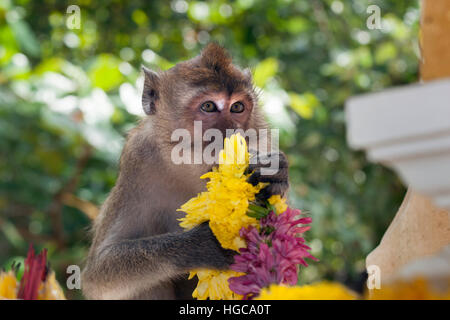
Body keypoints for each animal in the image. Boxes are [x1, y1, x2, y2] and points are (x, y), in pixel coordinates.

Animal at [81, 43, 288, 298]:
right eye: (208, 106)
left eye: (237, 107)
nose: (232, 132)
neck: (190, 167)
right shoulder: (136, 164)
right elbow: (97, 276)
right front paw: (203, 245)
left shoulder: (262, 143)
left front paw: (275, 174)